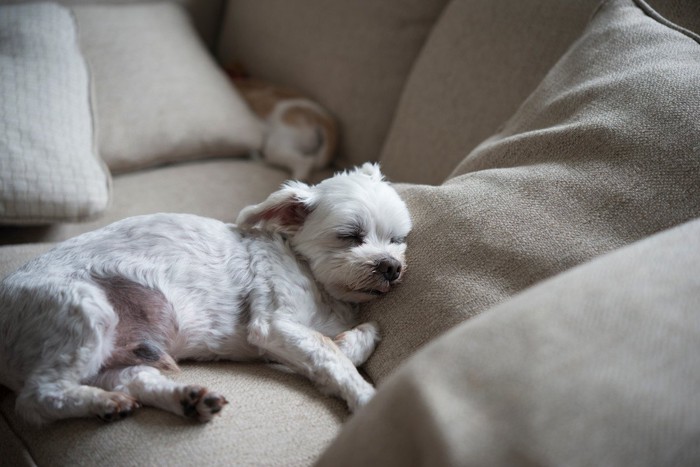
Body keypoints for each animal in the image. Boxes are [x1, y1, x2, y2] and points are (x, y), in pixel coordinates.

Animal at [0, 164, 410, 424]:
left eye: (397, 239)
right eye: (351, 236)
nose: (391, 267)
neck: (313, 276)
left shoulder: (285, 340)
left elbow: (348, 342)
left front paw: (350, 341)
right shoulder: (273, 323)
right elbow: (330, 354)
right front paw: (365, 396)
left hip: (118, 350)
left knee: (133, 378)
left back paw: (183, 400)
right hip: (81, 314)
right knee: (37, 399)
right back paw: (104, 403)